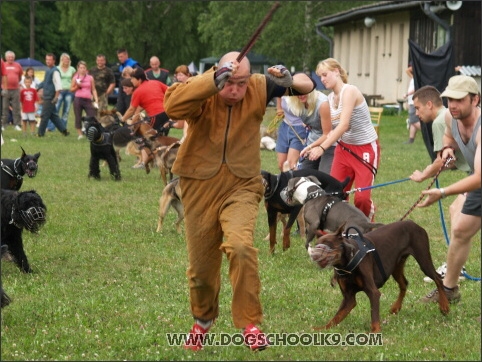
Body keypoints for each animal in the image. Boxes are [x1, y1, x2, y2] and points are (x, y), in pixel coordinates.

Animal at [306, 219, 450, 332]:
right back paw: (396, 307)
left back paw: (444, 306)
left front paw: (375, 332)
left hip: (423, 258)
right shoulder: (348, 298)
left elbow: (374, 315)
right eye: (316, 244)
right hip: (396, 265)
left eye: (328, 244)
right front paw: (323, 328)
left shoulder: (373, 292)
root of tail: (413, 223)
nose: (314, 255)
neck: (346, 264)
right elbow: (337, 317)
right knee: (404, 283)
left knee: (438, 278)